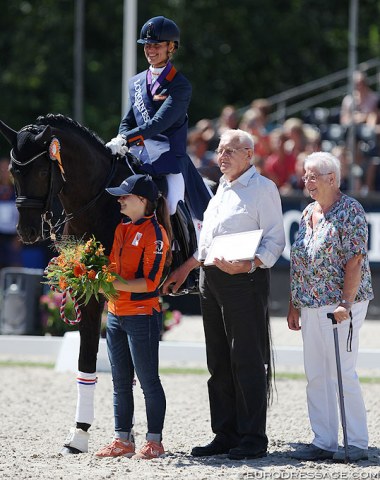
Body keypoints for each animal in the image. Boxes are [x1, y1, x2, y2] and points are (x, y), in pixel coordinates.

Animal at [0, 115, 196, 454]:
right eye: (13, 171)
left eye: (42, 171)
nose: (26, 232)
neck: (99, 200)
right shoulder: (86, 290)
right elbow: (93, 362)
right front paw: (85, 435)